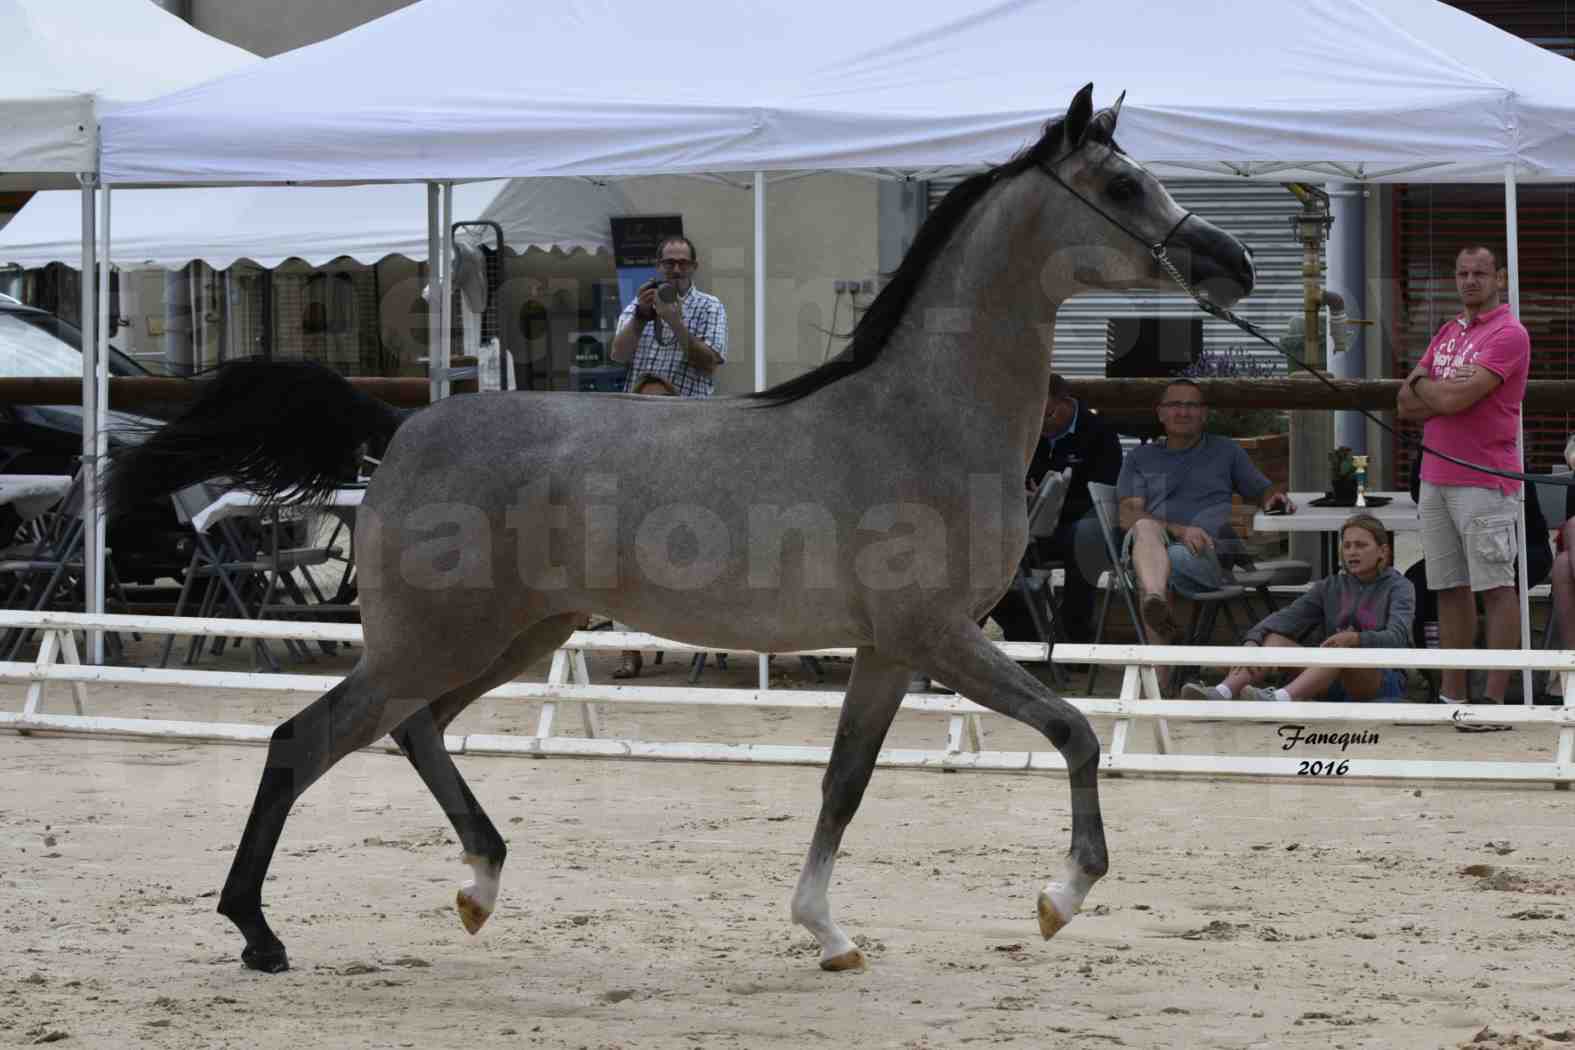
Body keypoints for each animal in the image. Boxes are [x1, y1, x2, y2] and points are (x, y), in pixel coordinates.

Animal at [104, 84, 1247, 976]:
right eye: (1121, 188)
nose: (1229, 261)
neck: (920, 415)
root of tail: (403, 427)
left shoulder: (890, 651)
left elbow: (845, 784)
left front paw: (828, 934)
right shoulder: (940, 637)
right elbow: (1076, 731)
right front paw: (1061, 898)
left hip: (515, 637)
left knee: (412, 729)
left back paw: (478, 886)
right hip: (437, 640)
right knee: (306, 740)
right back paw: (258, 933)